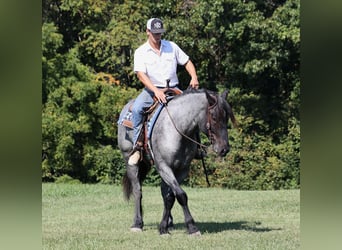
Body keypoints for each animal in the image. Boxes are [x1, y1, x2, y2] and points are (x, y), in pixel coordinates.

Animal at [116, 89, 236, 235]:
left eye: (226, 117)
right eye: (213, 117)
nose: (224, 149)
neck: (177, 130)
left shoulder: (182, 170)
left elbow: (170, 197)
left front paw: (163, 227)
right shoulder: (164, 167)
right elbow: (181, 195)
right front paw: (192, 227)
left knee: (163, 192)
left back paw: (169, 222)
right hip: (131, 163)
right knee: (138, 191)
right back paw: (137, 223)